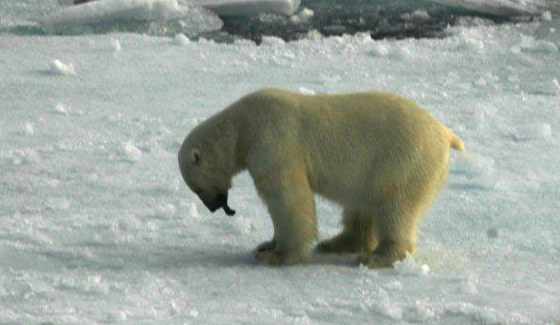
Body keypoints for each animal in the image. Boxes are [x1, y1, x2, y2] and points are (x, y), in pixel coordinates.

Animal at [177, 87, 462, 268]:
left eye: (197, 188)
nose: (214, 206)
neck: (243, 125)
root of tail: (445, 134)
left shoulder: (274, 140)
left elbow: (288, 198)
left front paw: (278, 255)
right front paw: (265, 245)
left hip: (405, 161)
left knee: (395, 207)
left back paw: (377, 257)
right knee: (361, 206)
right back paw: (338, 243)